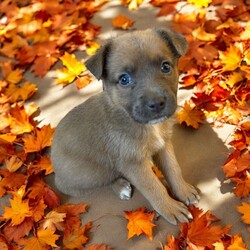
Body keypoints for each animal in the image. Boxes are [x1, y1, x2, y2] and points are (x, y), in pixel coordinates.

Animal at [50, 27, 199, 225]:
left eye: (166, 67)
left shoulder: (164, 145)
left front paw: (183, 190)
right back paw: (120, 186)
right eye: (124, 79)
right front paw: (170, 208)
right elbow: (154, 188)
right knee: (100, 182)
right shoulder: (133, 164)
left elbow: (173, 169)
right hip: (91, 173)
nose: (156, 103)